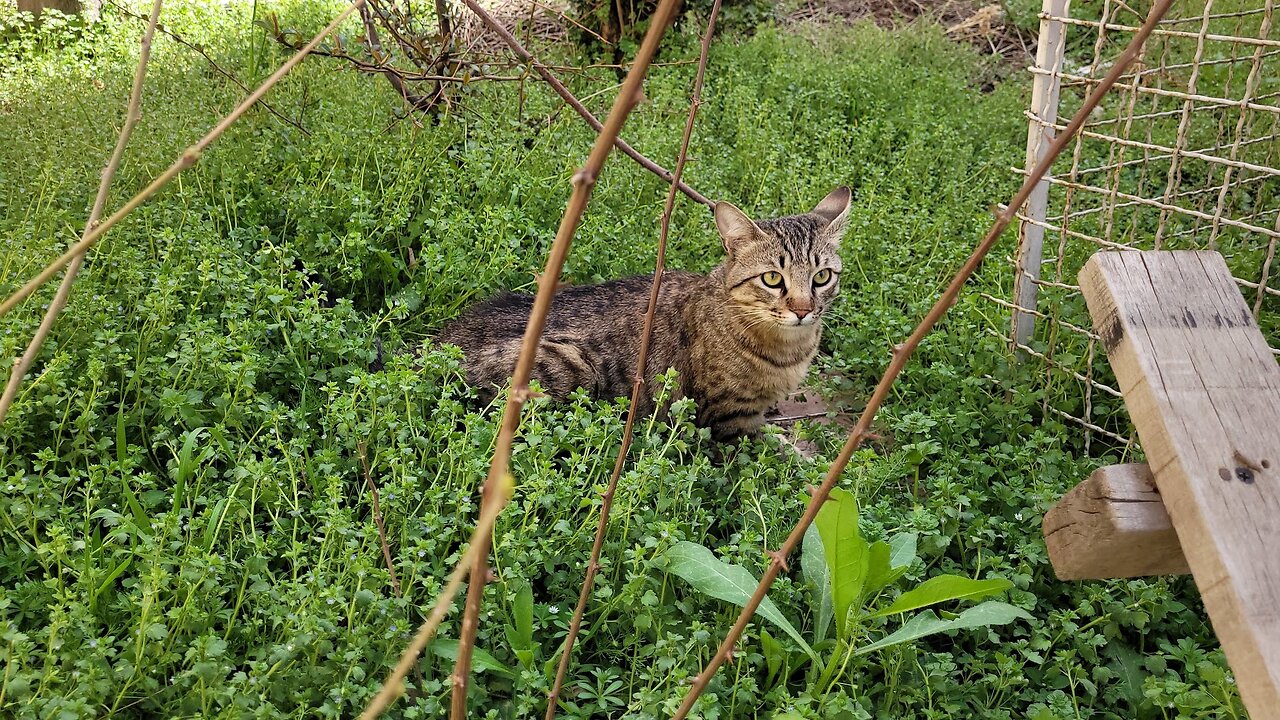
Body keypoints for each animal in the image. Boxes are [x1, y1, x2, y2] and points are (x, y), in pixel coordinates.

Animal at [440, 185, 849, 438]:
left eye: (822, 276)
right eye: (772, 278)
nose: (803, 309)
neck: (789, 349)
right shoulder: (726, 417)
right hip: (572, 369)